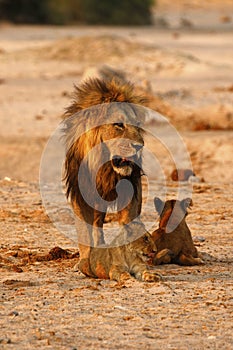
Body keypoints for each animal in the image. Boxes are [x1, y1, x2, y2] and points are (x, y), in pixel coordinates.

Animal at [63, 77, 147, 276]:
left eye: (137, 124)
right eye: (119, 124)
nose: (140, 146)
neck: (104, 167)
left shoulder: (131, 191)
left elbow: (128, 222)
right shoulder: (80, 194)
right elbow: (85, 231)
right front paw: (85, 262)